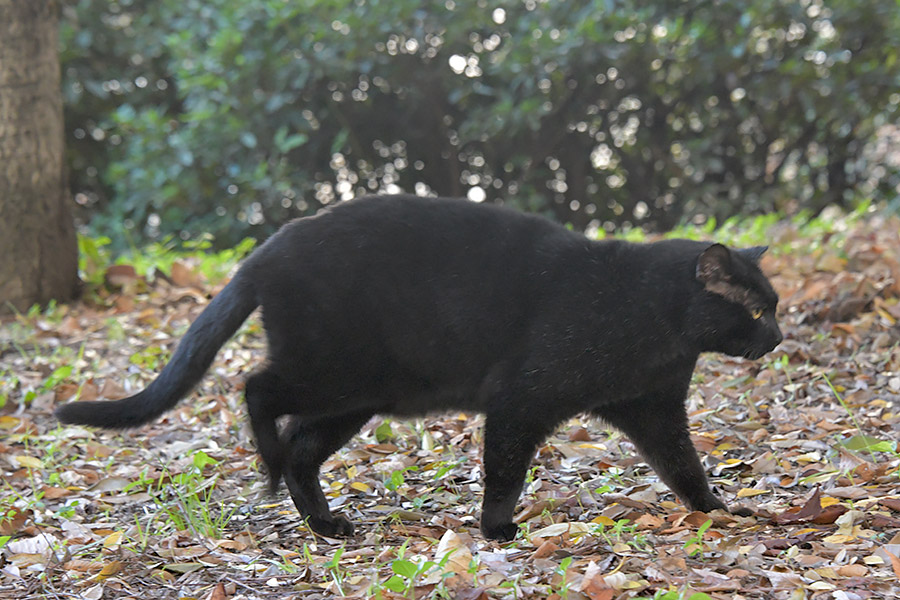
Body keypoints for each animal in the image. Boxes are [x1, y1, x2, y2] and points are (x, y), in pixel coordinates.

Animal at [58, 196, 780, 540]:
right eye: (752, 311)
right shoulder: (520, 401)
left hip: (356, 397)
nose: (775, 336)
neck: (654, 324)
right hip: (332, 371)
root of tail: (265, 250)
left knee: (301, 450)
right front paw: (498, 530)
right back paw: (265, 466)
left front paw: (719, 510)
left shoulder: (655, 409)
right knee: (257, 390)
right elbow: (504, 472)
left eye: (772, 306)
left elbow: (685, 467)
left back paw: (325, 523)